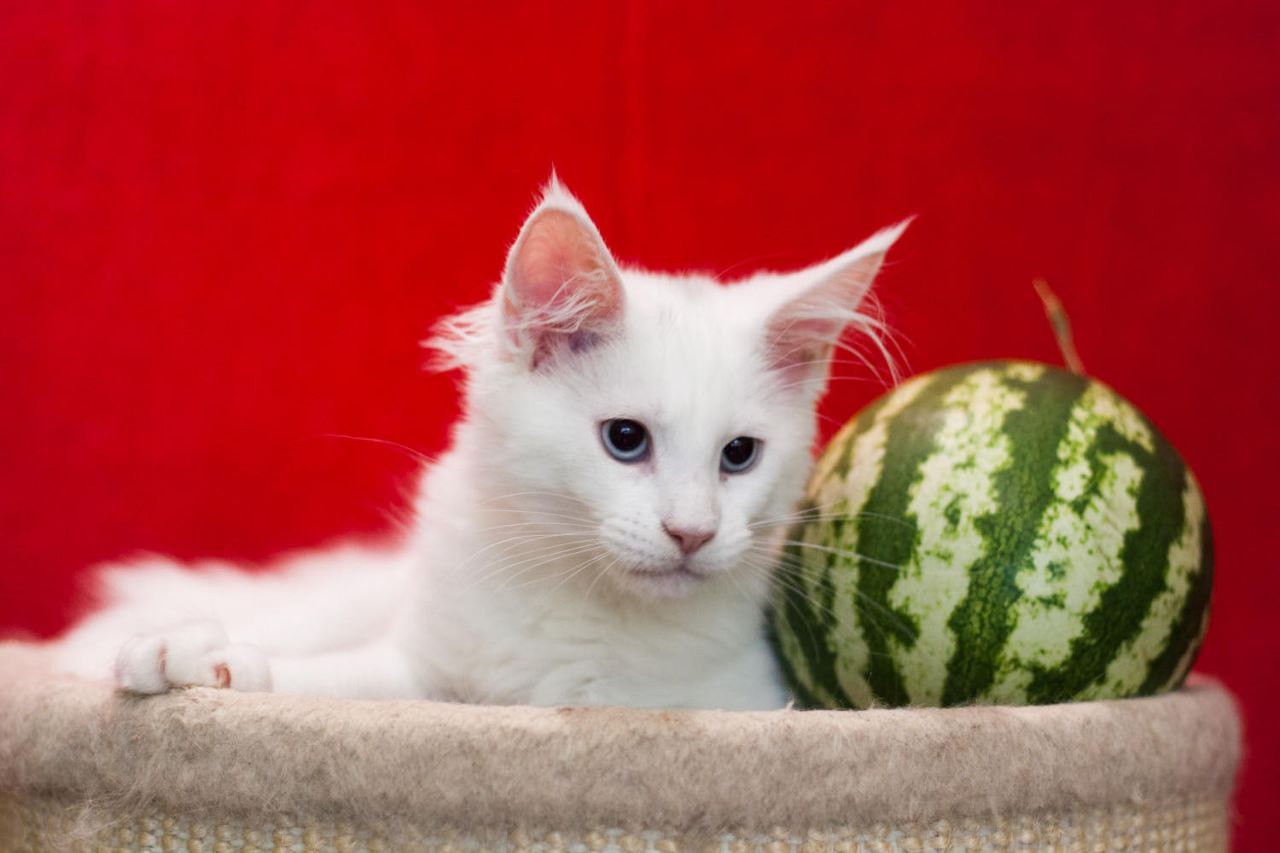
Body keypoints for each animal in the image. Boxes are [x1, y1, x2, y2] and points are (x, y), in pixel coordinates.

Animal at [52, 179, 911, 712]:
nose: (692, 533)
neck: (578, 608)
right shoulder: (418, 672)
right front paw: (204, 669)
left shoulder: (751, 700)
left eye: (739, 455)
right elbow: (313, 677)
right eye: (625, 440)